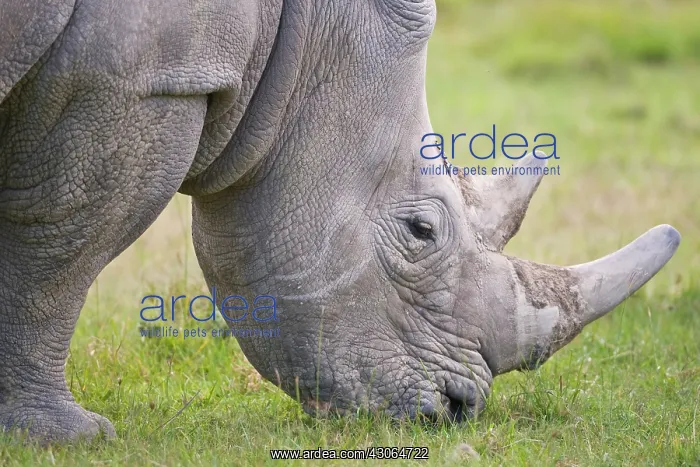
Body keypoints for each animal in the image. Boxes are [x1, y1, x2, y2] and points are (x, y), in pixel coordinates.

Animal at [0, 0, 680, 442]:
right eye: (421, 232)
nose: (458, 412)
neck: (302, 34)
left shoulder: (140, 76)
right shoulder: (138, 80)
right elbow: (56, 257)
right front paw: (65, 438)